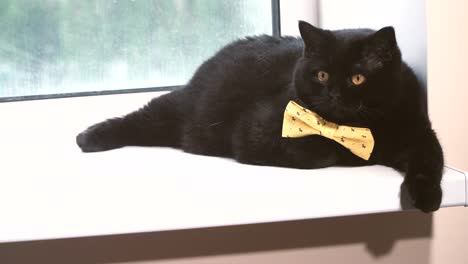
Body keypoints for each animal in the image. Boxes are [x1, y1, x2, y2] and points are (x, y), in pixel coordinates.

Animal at [77, 21, 442, 213]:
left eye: (357, 78)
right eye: (322, 75)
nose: (333, 95)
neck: (357, 129)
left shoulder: (417, 130)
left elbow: (430, 159)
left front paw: (425, 198)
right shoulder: (257, 133)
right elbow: (321, 152)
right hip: (180, 108)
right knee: (140, 118)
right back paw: (88, 138)